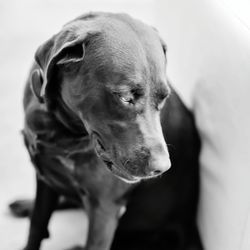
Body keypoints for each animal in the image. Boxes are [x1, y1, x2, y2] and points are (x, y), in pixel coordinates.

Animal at [16, 12, 202, 250]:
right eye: (125, 97)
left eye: (163, 98)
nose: (162, 168)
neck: (62, 127)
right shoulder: (45, 173)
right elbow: (37, 223)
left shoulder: (104, 209)